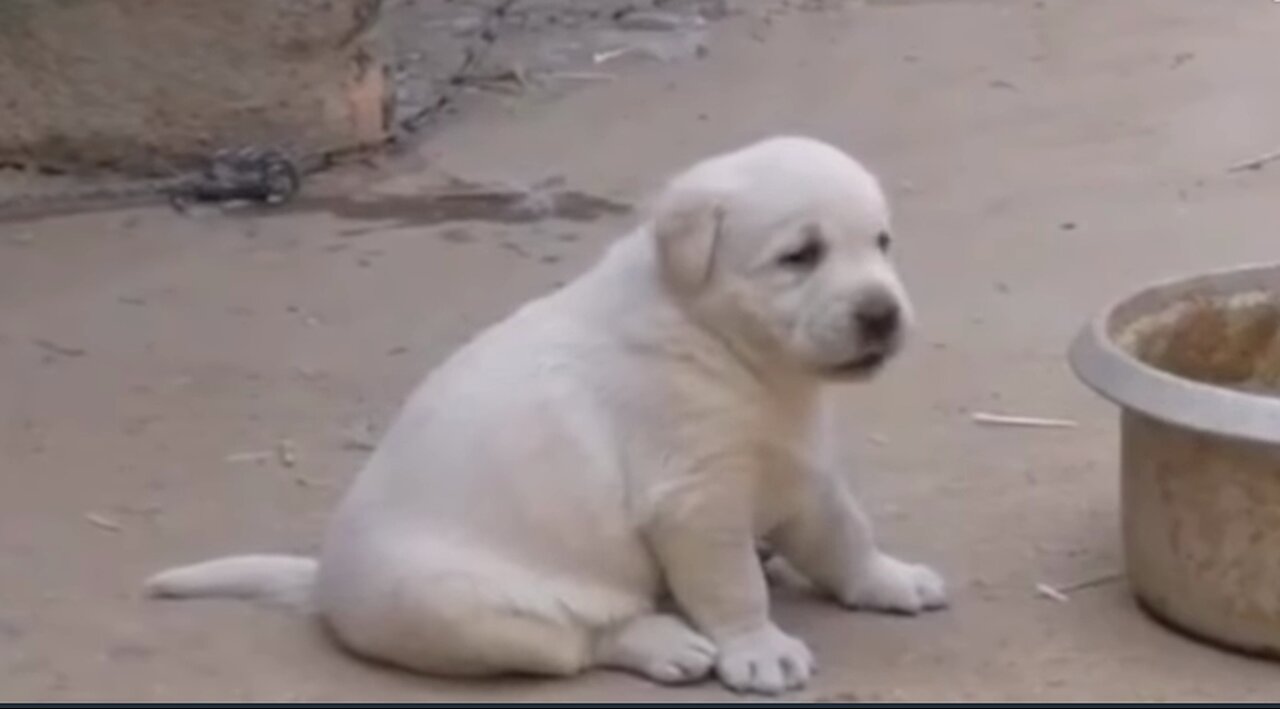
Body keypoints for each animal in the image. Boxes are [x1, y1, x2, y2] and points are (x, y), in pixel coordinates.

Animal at [152, 135, 952, 691]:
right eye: (799, 255)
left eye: (881, 243)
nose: (882, 314)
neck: (722, 342)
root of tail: (321, 582)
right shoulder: (696, 500)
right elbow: (733, 585)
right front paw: (759, 650)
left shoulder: (799, 468)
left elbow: (844, 536)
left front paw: (890, 579)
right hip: (459, 607)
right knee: (583, 639)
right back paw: (666, 643)